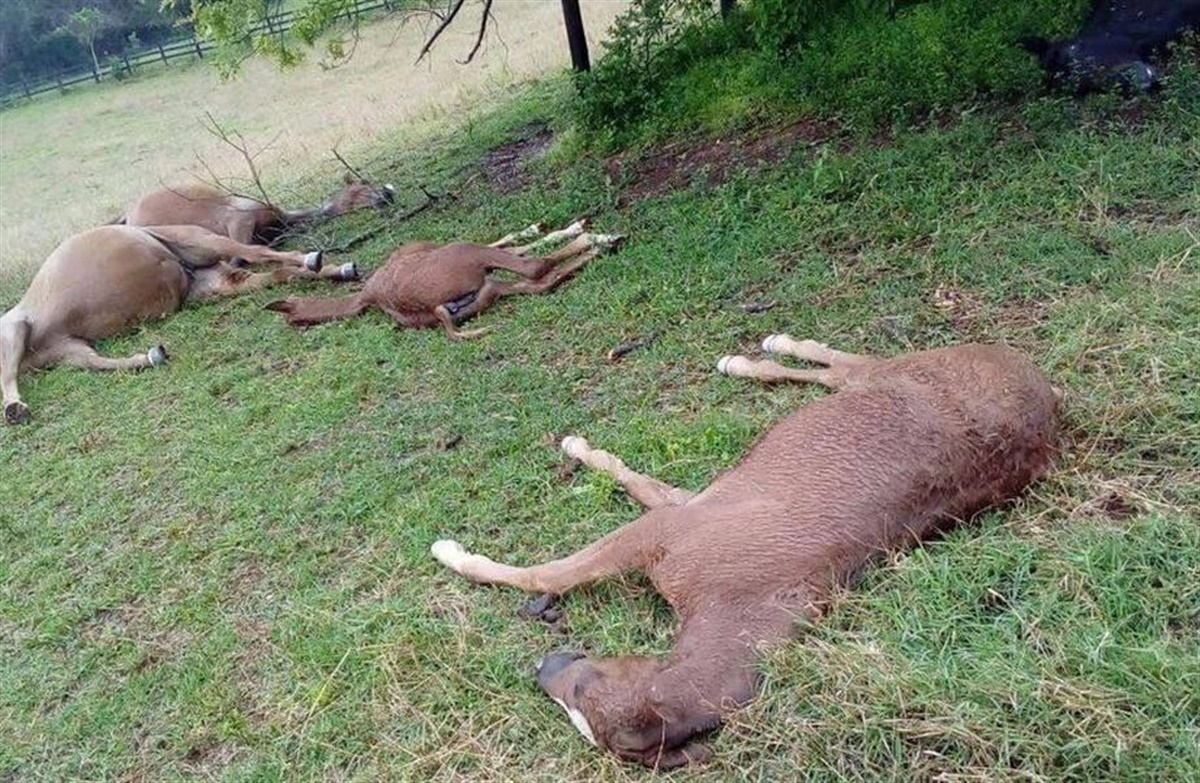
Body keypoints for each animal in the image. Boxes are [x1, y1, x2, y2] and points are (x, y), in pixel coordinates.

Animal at [263, 218, 624, 339]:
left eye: (292, 316)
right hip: (467, 254)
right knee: (536, 267)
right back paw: (598, 238)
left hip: (490, 288)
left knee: (540, 276)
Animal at [432, 335, 1061, 768]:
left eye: (583, 691)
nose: (544, 667)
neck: (737, 597)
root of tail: (1046, 391)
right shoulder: (686, 508)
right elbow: (639, 481)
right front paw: (582, 447)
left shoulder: (668, 531)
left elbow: (546, 574)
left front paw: (453, 552)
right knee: (836, 371)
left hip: (890, 377)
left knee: (844, 366)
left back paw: (754, 355)